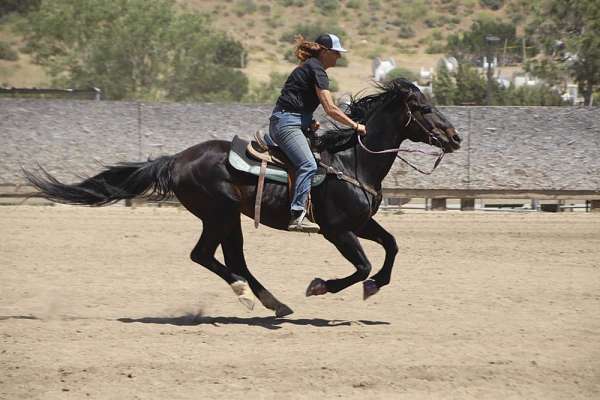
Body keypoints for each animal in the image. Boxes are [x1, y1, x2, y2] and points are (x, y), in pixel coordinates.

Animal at [24, 79, 460, 316]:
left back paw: (272, 303)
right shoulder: (336, 230)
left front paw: (375, 286)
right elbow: (363, 265)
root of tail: (176, 159)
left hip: (224, 218)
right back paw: (250, 298)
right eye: (423, 107)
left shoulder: (361, 222)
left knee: (227, 258)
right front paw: (321, 286)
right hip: (220, 214)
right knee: (212, 257)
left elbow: (391, 245)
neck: (351, 161)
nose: (454, 137)